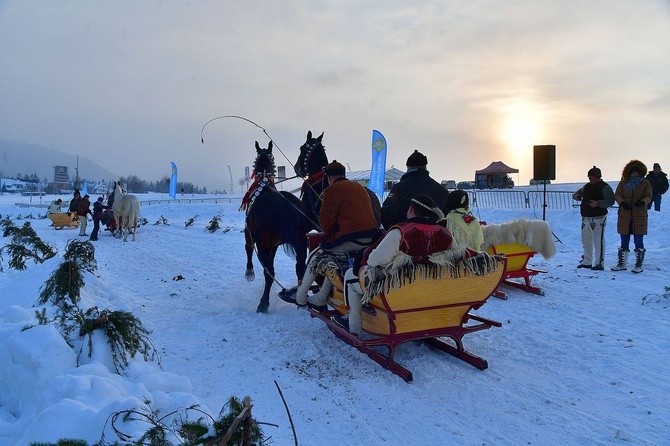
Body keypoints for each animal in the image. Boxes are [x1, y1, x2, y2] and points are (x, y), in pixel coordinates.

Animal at [244, 141, 312, 312]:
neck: (262, 188)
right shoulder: (273, 245)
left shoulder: (251, 235)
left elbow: (248, 248)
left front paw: (249, 272)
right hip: (299, 242)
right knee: (300, 268)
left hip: (263, 244)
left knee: (269, 272)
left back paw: (263, 303)